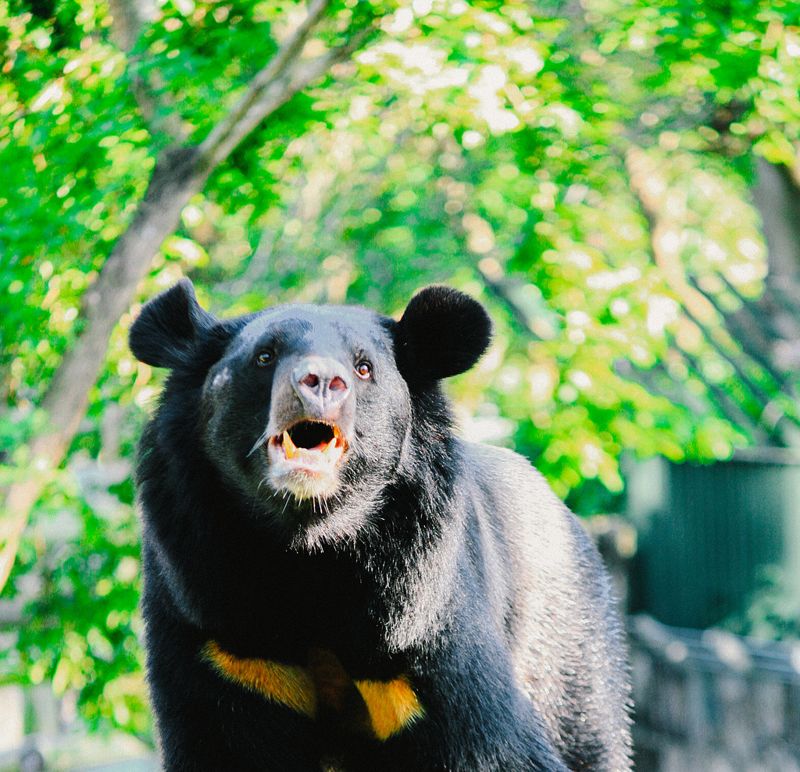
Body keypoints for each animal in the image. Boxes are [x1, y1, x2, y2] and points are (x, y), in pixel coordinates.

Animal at [129, 279, 632, 772]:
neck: (308, 547)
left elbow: (494, 748)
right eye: (265, 356)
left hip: (569, 652)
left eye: (364, 367)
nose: (320, 382)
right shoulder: (220, 633)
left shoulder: (422, 623)